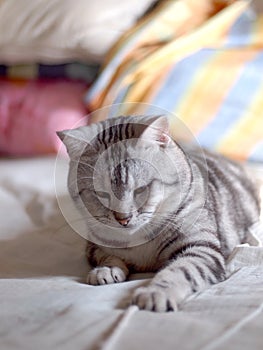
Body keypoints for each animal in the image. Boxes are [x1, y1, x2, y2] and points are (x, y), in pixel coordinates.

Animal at [56, 115, 260, 312]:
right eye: (101, 193)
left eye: (140, 189)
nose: (123, 219)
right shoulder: (93, 245)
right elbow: (105, 256)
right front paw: (106, 270)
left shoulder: (201, 248)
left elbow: (181, 270)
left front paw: (155, 293)